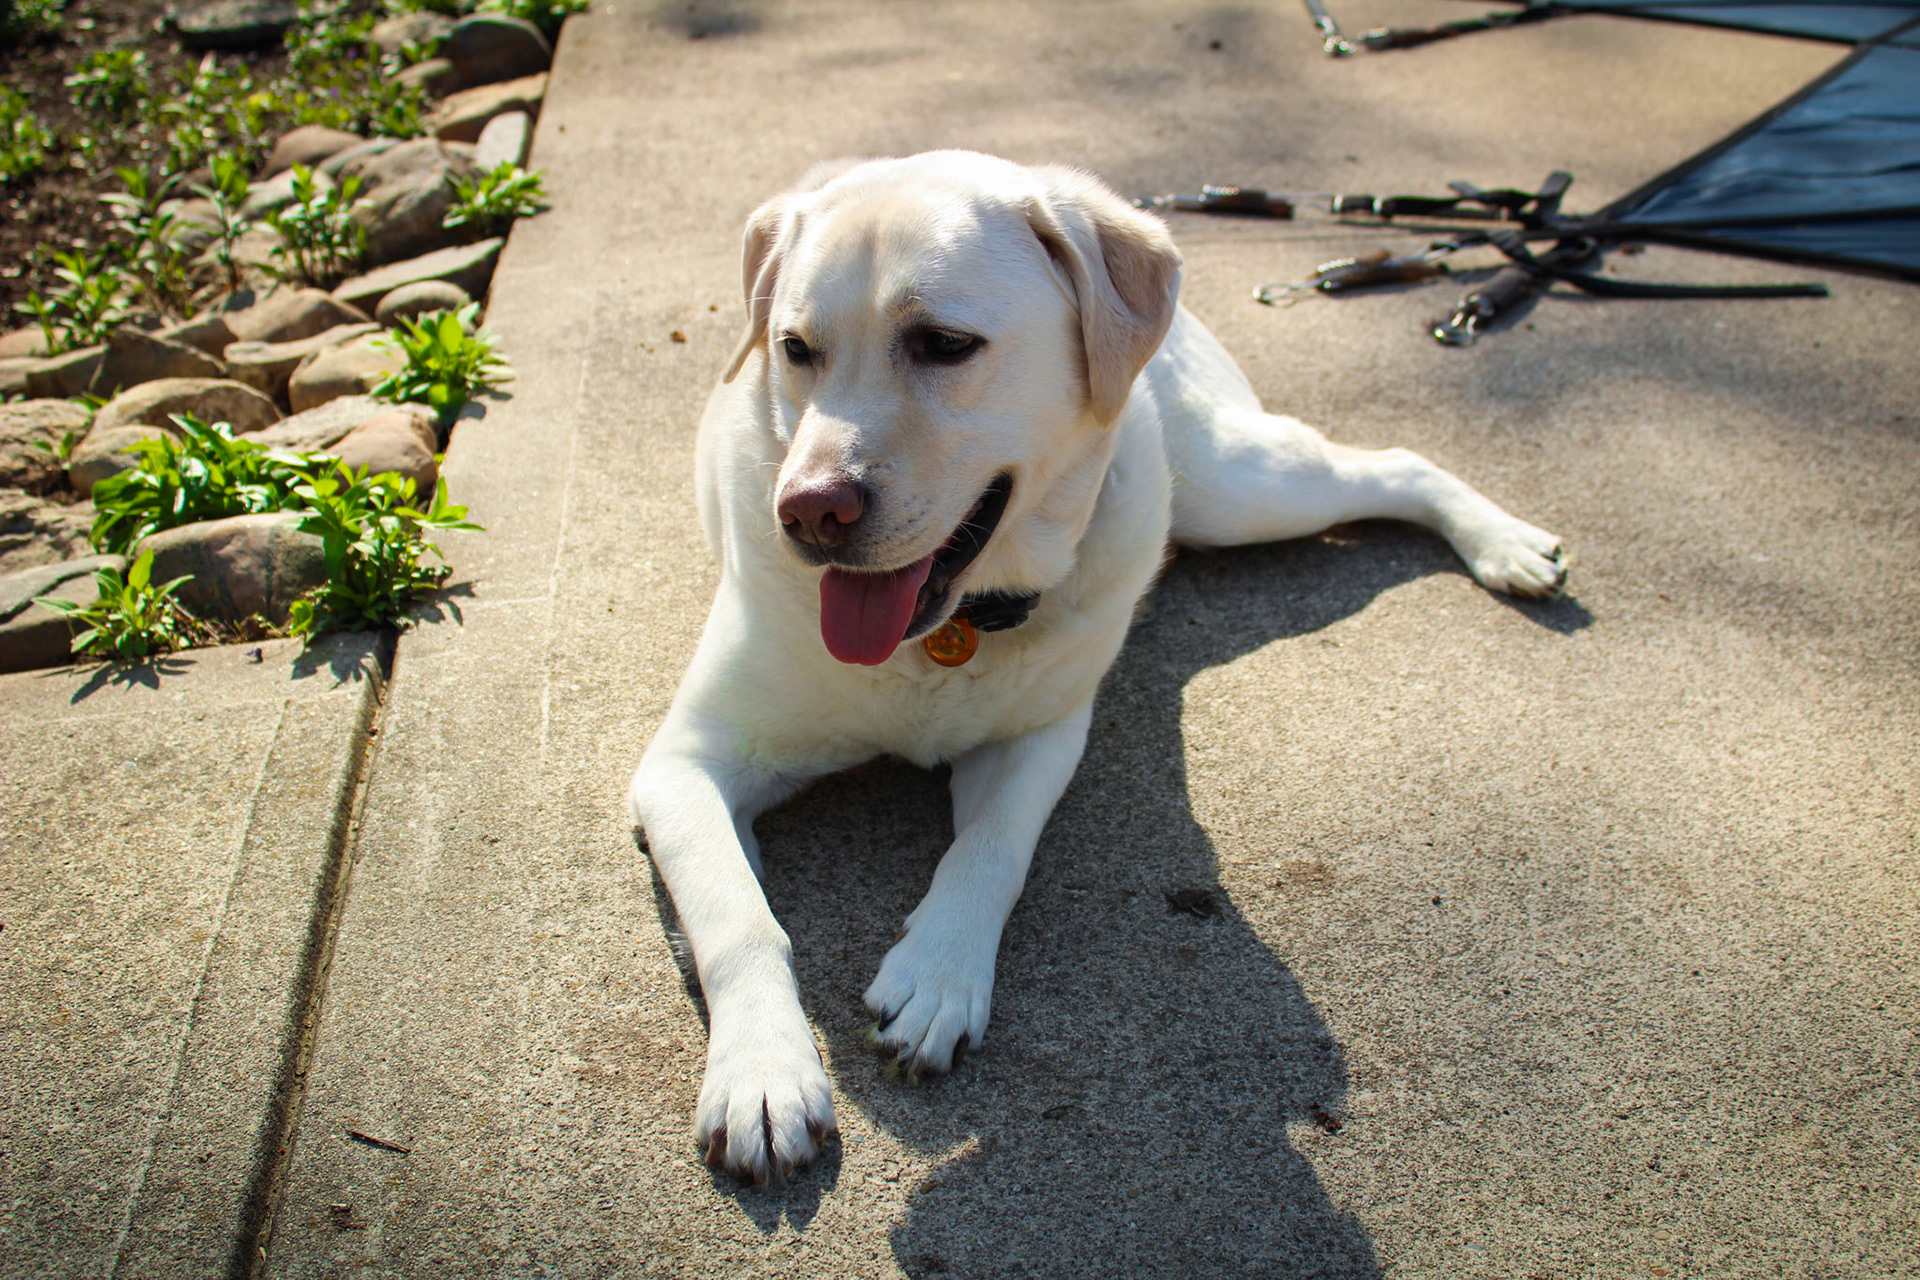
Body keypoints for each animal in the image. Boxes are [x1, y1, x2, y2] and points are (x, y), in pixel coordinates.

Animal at [629, 151, 1566, 1183]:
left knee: (1393, 462)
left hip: (1239, 487)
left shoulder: (1040, 736)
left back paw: (1504, 543)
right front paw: (763, 1068)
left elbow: (992, 850)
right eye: (795, 349)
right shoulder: (682, 766)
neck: (948, 631)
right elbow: (737, 913)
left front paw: (939, 974)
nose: (808, 513)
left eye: (944, 344)